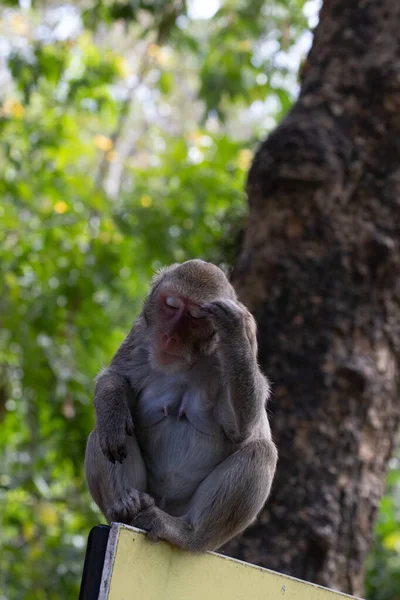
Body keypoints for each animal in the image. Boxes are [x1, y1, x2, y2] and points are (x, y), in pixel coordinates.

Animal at [85, 258, 278, 552]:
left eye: (196, 316)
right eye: (172, 305)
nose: (170, 337)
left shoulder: (250, 333)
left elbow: (242, 429)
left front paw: (232, 330)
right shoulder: (141, 332)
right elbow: (117, 376)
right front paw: (112, 404)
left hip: (195, 522)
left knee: (261, 451)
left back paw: (185, 532)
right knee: (104, 433)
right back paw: (126, 505)